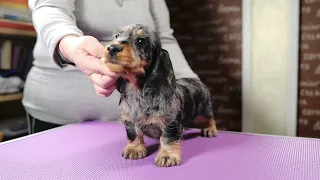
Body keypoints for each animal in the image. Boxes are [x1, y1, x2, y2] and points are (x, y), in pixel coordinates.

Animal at [100, 23, 218, 167]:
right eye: (116, 36)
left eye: (141, 41)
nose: (112, 48)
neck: (138, 93)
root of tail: (197, 81)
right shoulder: (129, 121)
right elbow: (133, 134)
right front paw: (135, 148)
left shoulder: (170, 123)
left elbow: (168, 139)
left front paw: (167, 155)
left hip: (203, 111)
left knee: (210, 118)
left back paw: (210, 129)